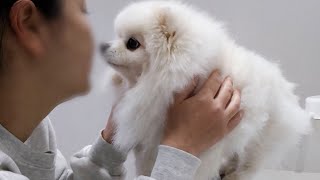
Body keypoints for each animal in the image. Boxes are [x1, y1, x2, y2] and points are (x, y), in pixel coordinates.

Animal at [100, 0, 310, 179]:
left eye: (132, 43)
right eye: (116, 36)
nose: (102, 45)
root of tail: (286, 88)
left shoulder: (206, 148)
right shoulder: (147, 142)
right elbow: (145, 167)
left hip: (263, 137)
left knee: (250, 162)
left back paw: (236, 174)